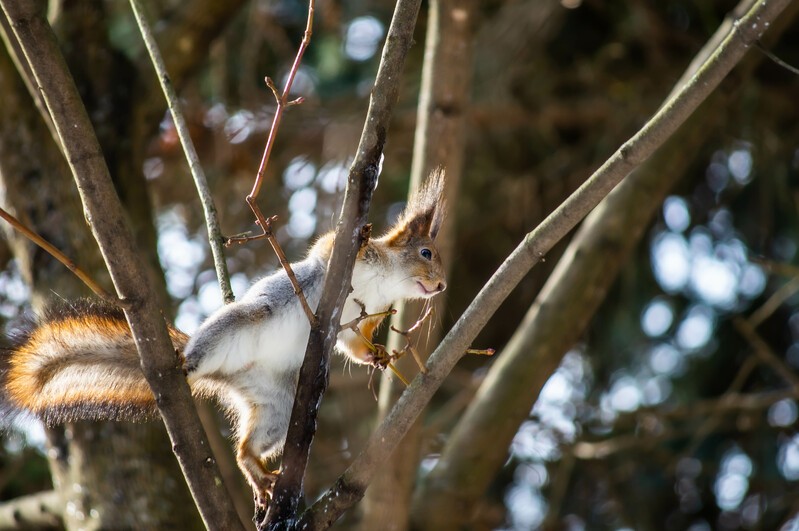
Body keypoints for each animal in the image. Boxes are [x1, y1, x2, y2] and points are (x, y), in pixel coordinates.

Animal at [0, 169, 446, 498]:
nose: (441, 285)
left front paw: (378, 355)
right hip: (239, 324)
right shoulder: (336, 264)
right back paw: (185, 364)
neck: (384, 285)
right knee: (207, 351)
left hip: (277, 404)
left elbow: (352, 344)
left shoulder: (363, 317)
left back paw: (255, 469)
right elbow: (329, 246)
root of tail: (225, 374)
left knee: (246, 447)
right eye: (425, 252)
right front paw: (362, 233)